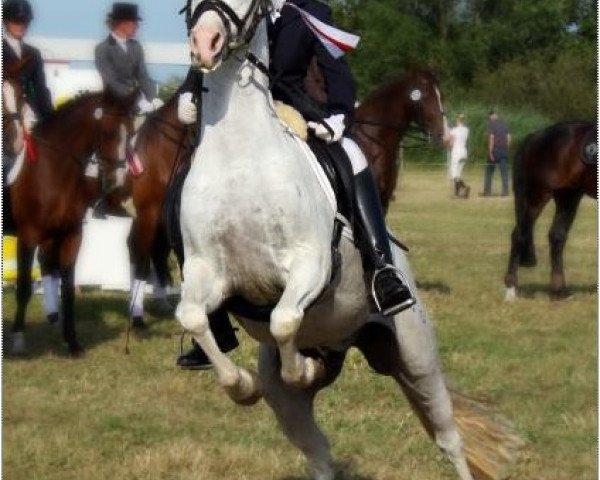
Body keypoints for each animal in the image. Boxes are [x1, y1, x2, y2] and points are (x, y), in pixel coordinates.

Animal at [9, 90, 137, 354]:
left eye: (131, 132)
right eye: (108, 132)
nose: (118, 183)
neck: (52, 170)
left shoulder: (71, 235)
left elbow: (68, 288)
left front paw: (72, 341)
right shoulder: (27, 236)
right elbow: (24, 287)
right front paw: (18, 338)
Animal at [178, 1, 520, 478]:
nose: (204, 43)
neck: (239, 158)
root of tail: (347, 342)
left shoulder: (309, 263)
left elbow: (284, 319)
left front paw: (299, 368)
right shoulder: (206, 270)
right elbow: (193, 317)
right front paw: (244, 384)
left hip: (417, 358)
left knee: (449, 438)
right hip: (294, 404)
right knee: (319, 452)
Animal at [504, 120, 596, 300]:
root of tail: (536, 136)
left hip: (568, 195)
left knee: (557, 236)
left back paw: (559, 291)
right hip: (538, 195)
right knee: (519, 234)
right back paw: (511, 290)